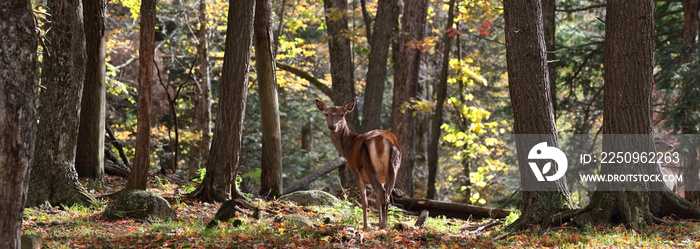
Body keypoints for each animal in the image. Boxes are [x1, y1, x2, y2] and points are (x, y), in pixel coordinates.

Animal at [316, 98, 402, 230]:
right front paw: (377, 222)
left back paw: (381, 226)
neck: (348, 147)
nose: (332, 126)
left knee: (381, 195)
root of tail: (382, 140)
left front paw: (366, 226)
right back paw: (385, 225)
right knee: (386, 196)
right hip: (393, 169)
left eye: (342, 114)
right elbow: (376, 201)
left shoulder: (357, 172)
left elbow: (365, 201)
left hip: (369, 167)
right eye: (326, 113)